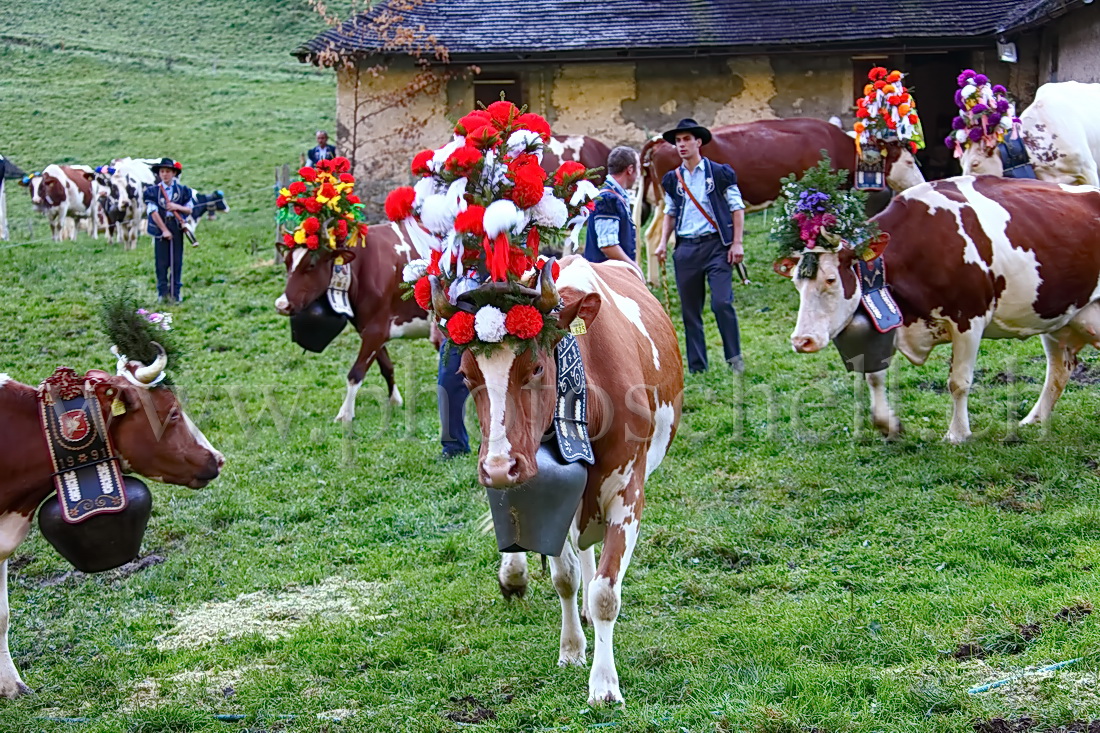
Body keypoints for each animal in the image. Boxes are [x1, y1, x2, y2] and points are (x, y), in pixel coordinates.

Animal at [273, 220, 429, 420]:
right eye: (286, 262)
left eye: (312, 264)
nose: (281, 304)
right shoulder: (369, 328)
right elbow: (386, 366)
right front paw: (395, 400)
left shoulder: (376, 330)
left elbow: (356, 373)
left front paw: (345, 414)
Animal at [446, 256, 677, 704]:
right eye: (465, 375)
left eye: (536, 367)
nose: (498, 467)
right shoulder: (547, 495)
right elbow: (564, 577)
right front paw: (571, 649)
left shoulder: (628, 493)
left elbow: (605, 591)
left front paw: (604, 684)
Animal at [778, 173, 1100, 442]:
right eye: (796, 282)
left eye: (831, 279)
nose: (801, 340)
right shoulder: (891, 320)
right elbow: (874, 375)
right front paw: (888, 424)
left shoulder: (970, 319)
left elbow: (958, 381)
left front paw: (957, 434)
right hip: (1062, 320)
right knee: (1059, 371)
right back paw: (1034, 420)